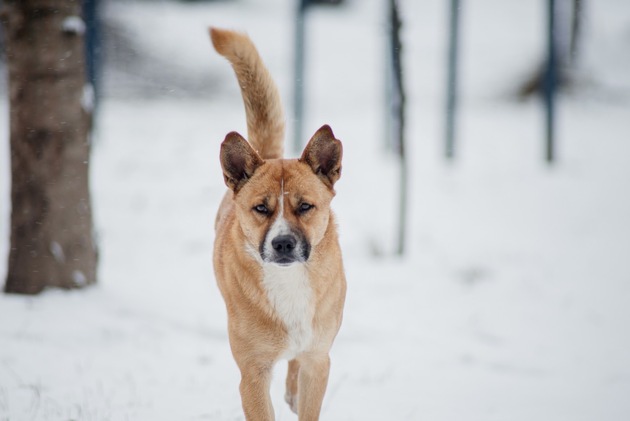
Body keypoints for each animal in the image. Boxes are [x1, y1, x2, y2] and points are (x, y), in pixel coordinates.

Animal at [210, 27, 348, 418]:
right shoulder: (253, 374)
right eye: (261, 208)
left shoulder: (319, 360)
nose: (283, 243)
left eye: (305, 206)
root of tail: (268, 155)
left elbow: (309, 393)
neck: (289, 283)